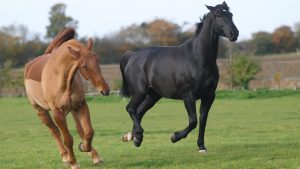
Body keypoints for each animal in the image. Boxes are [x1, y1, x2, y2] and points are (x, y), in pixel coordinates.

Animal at [23, 28, 110, 168]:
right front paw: (73, 162)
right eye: (84, 66)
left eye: (98, 62)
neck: (61, 78)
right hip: (41, 112)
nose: (105, 90)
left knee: (80, 130)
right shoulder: (58, 113)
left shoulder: (81, 105)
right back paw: (65, 156)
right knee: (55, 131)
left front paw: (87, 150)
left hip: (73, 110)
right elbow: (68, 139)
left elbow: (88, 132)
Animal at [119, 1, 239, 152]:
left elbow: (203, 120)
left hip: (153, 96)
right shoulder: (188, 96)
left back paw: (133, 137)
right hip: (139, 92)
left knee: (138, 112)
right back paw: (138, 136)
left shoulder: (209, 95)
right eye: (218, 15)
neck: (198, 58)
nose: (234, 33)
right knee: (130, 109)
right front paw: (174, 137)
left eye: (231, 14)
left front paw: (201, 146)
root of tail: (132, 56)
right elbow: (193, 121)